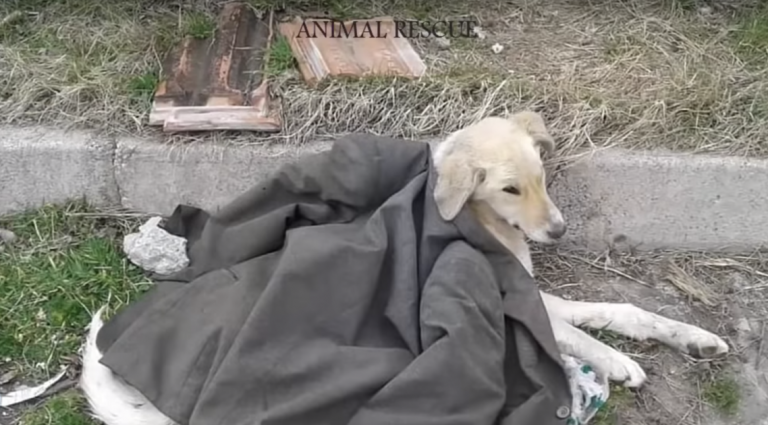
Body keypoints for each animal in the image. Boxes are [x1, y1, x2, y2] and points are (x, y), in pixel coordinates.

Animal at [81, 112, 728, 424]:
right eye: (510, 189)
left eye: (542, 178)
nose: (559, 231)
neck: (476, 218)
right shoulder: (516, 297)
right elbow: (574, 334)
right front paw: (618, 363)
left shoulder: (535, 290)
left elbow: (621, 308)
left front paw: (691, 337)